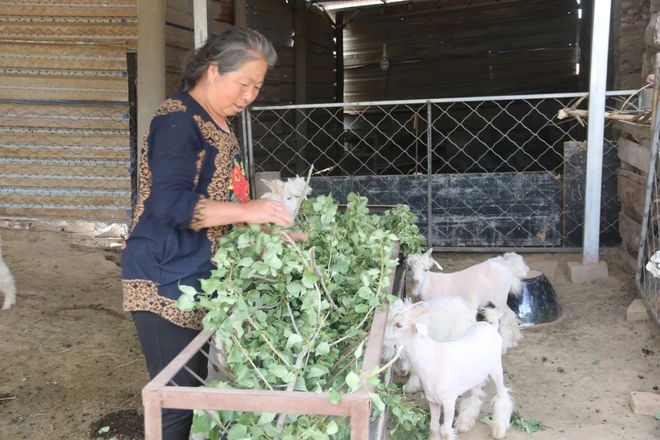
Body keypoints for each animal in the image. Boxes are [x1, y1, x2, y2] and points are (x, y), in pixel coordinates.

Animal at [386, 306, 516, 440]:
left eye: (399, 325)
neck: (432, 357)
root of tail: (491, 326)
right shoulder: (433, 400)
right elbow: (434, 426)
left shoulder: (449, 401)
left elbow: (446, 431)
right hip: (476, 376)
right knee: (475, 396)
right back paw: (464, 423)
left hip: (496, 368)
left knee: (502, 395)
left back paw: (499, 430)